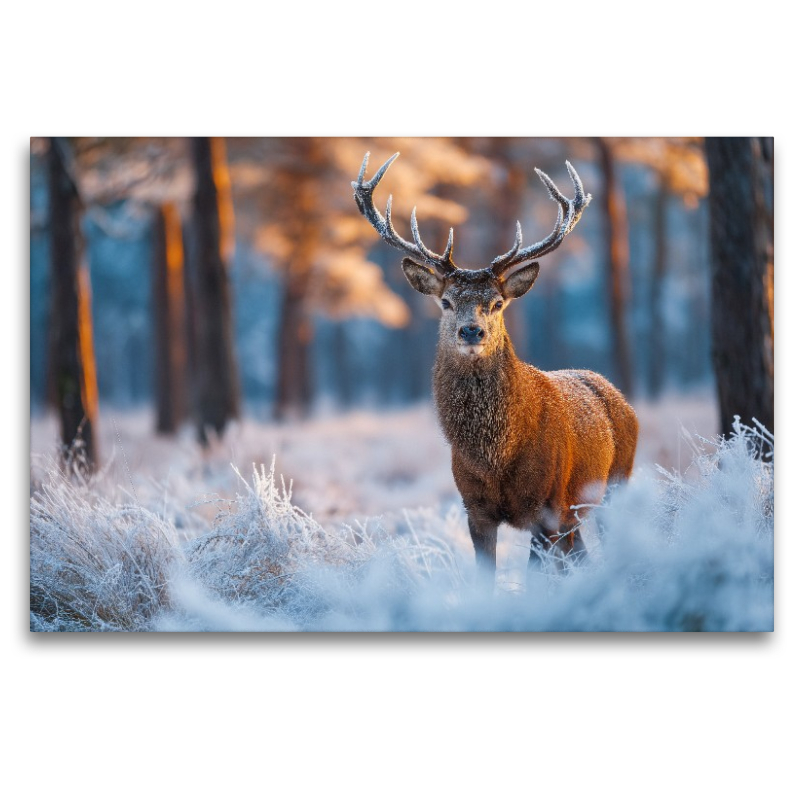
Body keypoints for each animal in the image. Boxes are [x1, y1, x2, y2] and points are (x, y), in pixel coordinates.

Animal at [352, 151, 638, 586]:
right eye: (447, 302)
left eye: (498, 303)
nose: (472, 330)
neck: (496, 457)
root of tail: (617, 395)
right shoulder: (475, 508)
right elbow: (485, 577)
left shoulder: (548, 506)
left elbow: (537, 577)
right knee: (581, 554)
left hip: (614, 483)